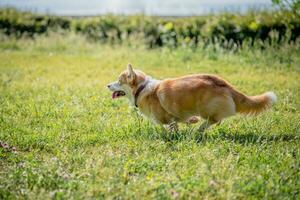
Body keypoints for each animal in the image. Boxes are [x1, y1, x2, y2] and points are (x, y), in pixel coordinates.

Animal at [107, 63, 276, 131]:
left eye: (119, 81)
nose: (107, 85)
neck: (141, 89)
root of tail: (225, 85)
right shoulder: (178, 115)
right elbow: (181, 121)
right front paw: (190, 122)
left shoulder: (167, 117)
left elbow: (169, 126)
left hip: (205, 108)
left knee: (214, 120)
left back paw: (199, 130)